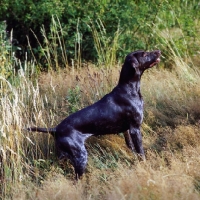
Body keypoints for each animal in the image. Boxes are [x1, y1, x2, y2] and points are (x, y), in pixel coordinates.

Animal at [27, 49, 161, 179]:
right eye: (144, 54)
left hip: (63, 156)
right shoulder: (135, 129)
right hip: (80, 156)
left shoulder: (127, 131)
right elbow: (141, 152)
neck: (129, 89)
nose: (158, 51)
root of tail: (55, 129)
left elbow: (132, 148)